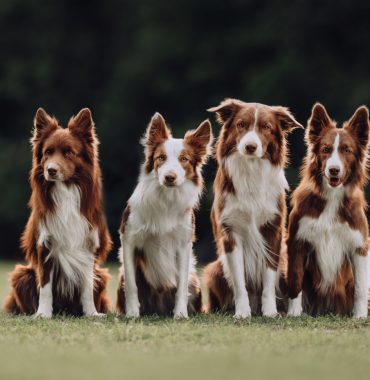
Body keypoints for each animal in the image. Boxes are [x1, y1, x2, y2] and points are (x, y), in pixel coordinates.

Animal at [4, 107, 111, 318]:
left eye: (69, 152)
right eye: (47, 152)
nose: (50, 170)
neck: (66, 190)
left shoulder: (89, 244)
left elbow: (87, 286)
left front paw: (91, 313)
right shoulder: (44, 245)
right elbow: (45, 287)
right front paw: (43, 314)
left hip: (102, 274)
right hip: (21, 274)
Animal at [117, 112, 212, 318]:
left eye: (184, 159)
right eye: (161, 157)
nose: (170, 177)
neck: (166, 198)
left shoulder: (184, 244)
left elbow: (181, 286)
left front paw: (181, 314)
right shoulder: (128, 238)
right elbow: (131, 284)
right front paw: (132, 314)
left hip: (194, 278)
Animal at [204, 98, 302, 318]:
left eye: (266, 127)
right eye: (241, 124)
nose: (250, 146)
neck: (251, 171)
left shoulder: (272, 231)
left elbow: (269, 279)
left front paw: (270, 312)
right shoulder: (231, 233)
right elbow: (239, 281)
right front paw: (242, 312)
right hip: (214, 269)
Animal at [284, 103, 368, 318]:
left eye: (347, 150)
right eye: (326, 149)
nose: (334, 170)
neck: (332, 197)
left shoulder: (359, 245)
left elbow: (361, 288)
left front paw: (360, 315)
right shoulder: (297, 241)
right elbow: (295, 280)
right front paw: (294, 313)